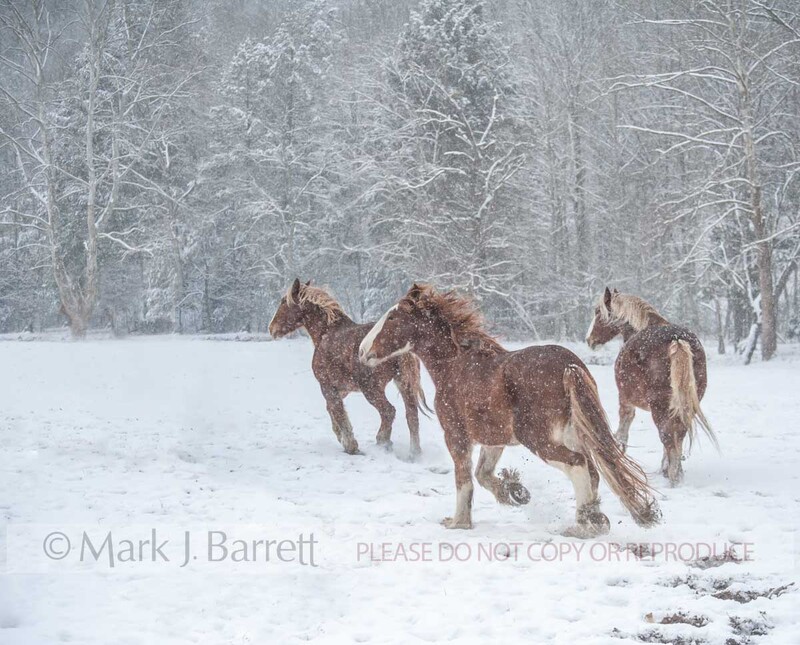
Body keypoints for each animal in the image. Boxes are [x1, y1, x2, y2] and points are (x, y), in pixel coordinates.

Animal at [269, 279, 430, 459]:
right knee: (411, 414)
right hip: (403, 382)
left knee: (389, 411)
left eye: (284, 302)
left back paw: (383, 442)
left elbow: (337, 411)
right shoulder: (342, 388)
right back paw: (414, 453)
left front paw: (350, 445)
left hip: (372, 389)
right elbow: (333, 409)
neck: (326, 333)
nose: (271, 328)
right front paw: (342, 438)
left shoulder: (327, 386)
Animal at [358, 283, 660, 537]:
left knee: (578, 464)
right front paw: (515, 492)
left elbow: (464, 479)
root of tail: (569, 365)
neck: (454, 366)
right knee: (593, 470)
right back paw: (592, 519)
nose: (362, 351)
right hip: (574, 434)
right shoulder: (494, 439)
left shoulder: (456, 435)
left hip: (538, 439)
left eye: (393, 318)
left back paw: (585, 524)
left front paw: (459, 522)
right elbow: (482, 474)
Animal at [586, 287, 717, 486]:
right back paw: (674, 471)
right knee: (678, 434)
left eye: (598, 312)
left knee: (667, 436)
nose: (589, 340)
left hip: (658, 406)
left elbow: (623, 428)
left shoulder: (625, 399)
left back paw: (674, 477)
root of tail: (677, 340)